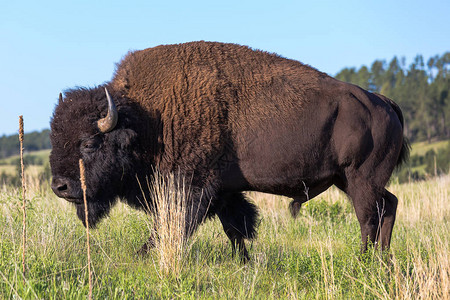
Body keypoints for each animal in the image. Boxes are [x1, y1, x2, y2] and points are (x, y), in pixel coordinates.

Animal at [49, 41, 408, 262]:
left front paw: (142, 256)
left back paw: (363, 260)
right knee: (388, 205)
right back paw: (382, 260)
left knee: (368, 216)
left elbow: (171, 226)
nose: (60, 186)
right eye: (55, 136)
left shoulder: (190, 188)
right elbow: (234, 228)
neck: (147, 118)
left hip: (359, 179)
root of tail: (383, 103)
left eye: (89, 142)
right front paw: (245, 263)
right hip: (348, 180)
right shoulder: (222, 192)